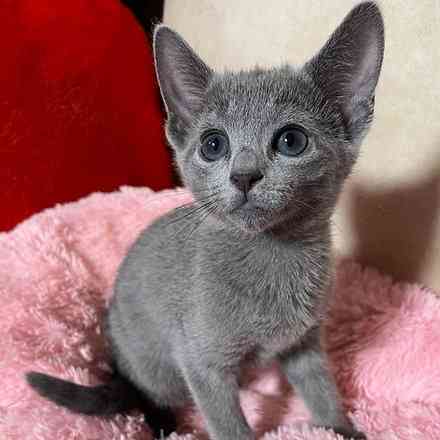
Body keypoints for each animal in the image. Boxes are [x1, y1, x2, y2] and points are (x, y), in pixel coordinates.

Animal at [27, 3, 384, 440]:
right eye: (213, 145)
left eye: (292, 140)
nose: (244, 175)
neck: (271, 256)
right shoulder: (201, 362)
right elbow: (228, 424)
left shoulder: (304, 344)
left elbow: (322, 391)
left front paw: (342, 428)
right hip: (154, 364)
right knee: (147, 396)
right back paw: (166, 427)